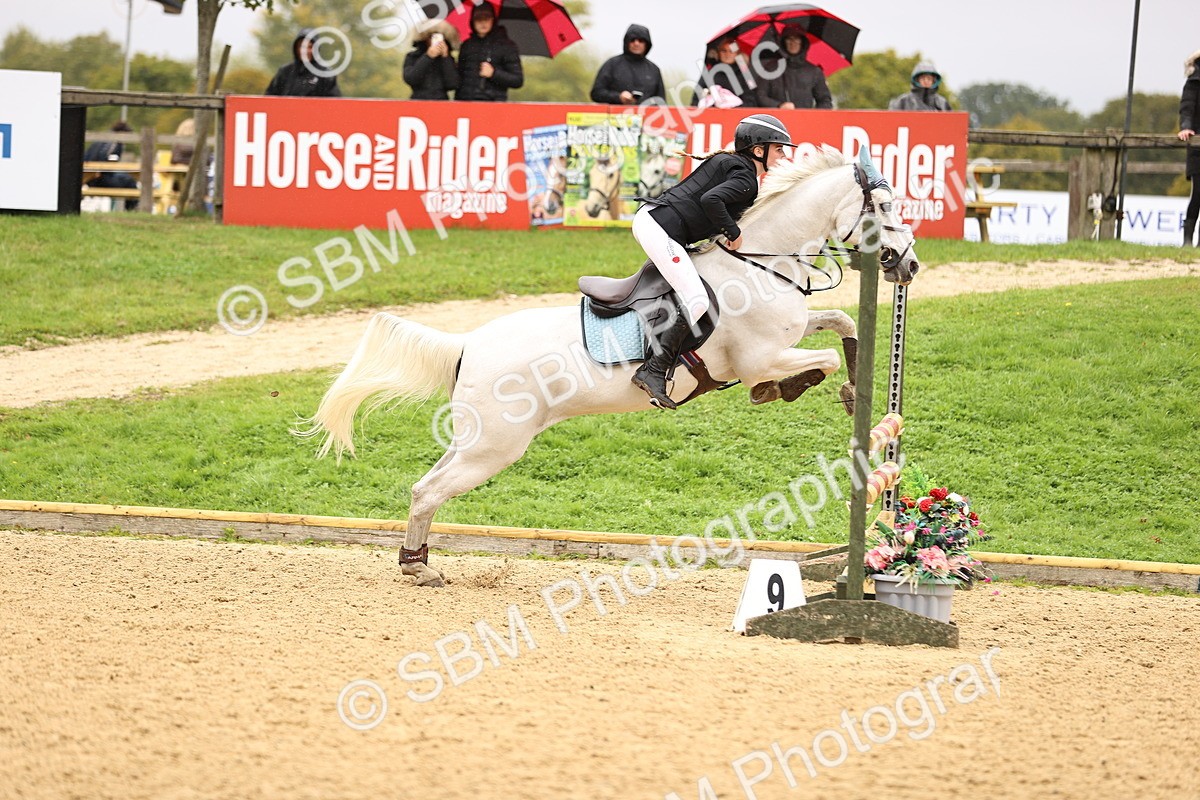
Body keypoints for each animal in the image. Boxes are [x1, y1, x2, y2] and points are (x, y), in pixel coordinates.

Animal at [297, 145, 920, 587]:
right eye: (886, 208)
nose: (909, 266)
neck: (760, 262)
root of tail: (468, 344)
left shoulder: (790, 332)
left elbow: (841, 322)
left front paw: (853, 383)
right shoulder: (759, 357)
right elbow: (812, 358)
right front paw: (803, 387)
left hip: (474, 440)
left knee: (423, 485)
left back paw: (418, 560)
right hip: (494, 448)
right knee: (429, 491)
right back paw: (416, 567)